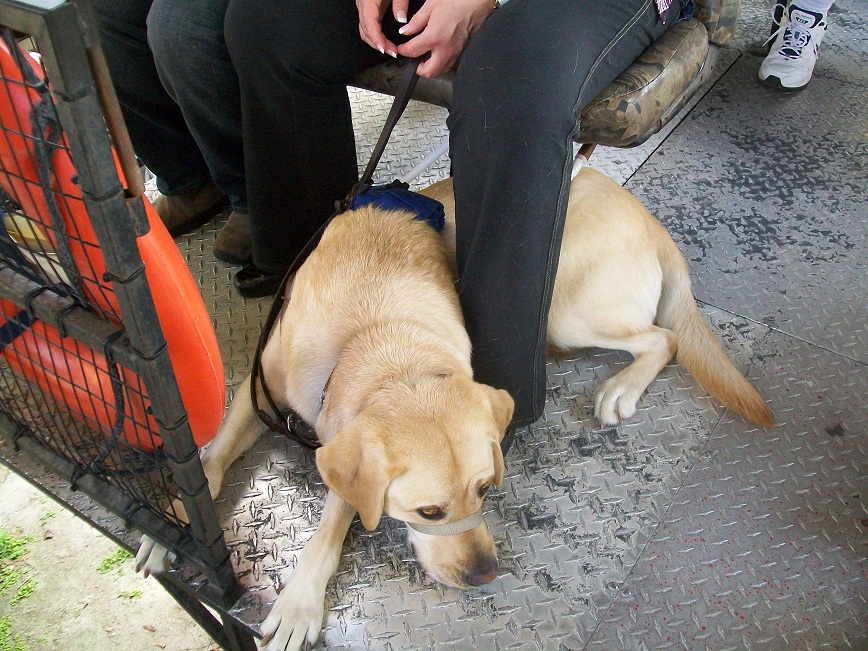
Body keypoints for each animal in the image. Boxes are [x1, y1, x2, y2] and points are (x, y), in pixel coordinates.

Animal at [134, 166, 772, 651]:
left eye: (486, 490)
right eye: (430, 512)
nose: (486, 575)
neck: (374, 334)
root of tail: (652, 222)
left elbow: (337, 513)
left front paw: (299, 601)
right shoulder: (259, 387)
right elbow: (210, 458)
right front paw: (176, 525)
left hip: (566, 306)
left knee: (663, 340)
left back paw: (621, 387)